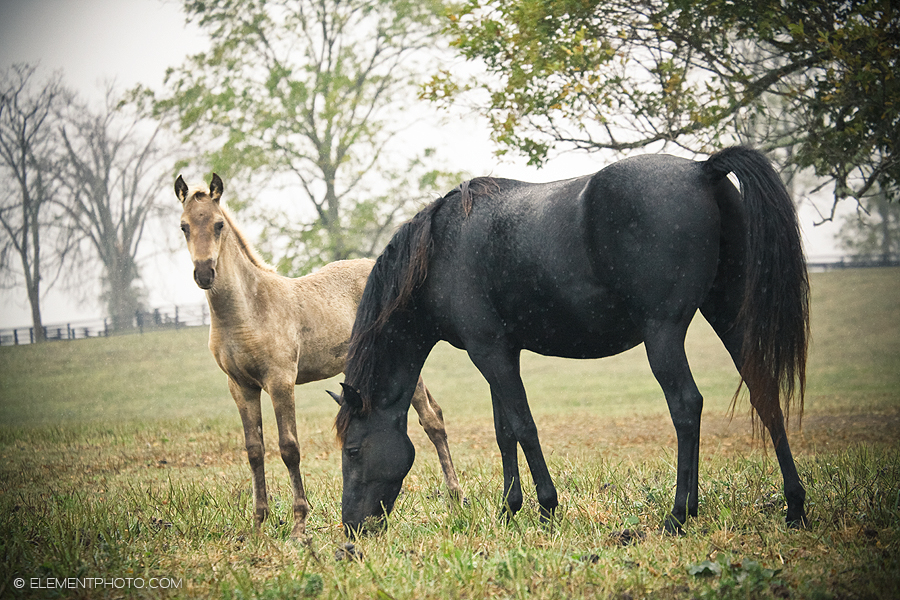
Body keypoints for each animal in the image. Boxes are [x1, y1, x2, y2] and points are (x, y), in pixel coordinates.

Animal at [175, 173, 460, 540]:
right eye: (184, 226)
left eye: (219, 224)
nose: (204, 273)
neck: (248, 309)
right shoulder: (241, 386)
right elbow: (254, 450)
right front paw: (258, 523)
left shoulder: (280, 381)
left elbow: (289, 448)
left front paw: (299, 525)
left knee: (432, 420)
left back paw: (455, 498)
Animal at [332, 145, 808, 536]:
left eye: (353, 450)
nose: (352, 527)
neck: (440, 252)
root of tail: (701, 169)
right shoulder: (498, 352)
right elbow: (504, 430)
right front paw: (508, 511)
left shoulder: (490, 353)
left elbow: (524, 425)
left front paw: (546, 508)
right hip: (728, 316)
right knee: (765, 396)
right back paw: (793, 507)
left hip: (663, 333)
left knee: (687, 407)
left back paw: (678, 515)